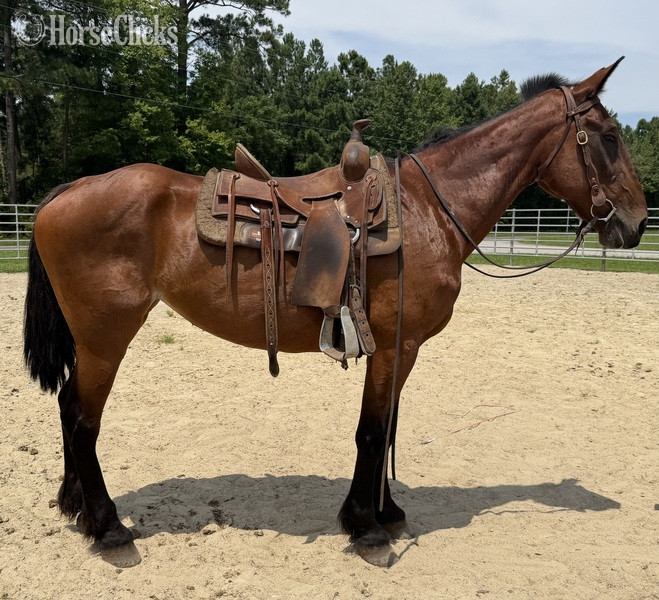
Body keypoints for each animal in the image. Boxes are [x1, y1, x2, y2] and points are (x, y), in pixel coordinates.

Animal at [23, 59, 647, 567]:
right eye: (609, 136)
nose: (637, 222)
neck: (428, 209)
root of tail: (68, 189)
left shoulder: (399, 349)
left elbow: (388, 425)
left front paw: (385, 513)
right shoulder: (395, 344)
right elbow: (372, 431)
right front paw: (366, 529)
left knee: (68, 408)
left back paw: (74, 508)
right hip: (106, 339)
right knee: (82, 420)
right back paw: (108, 530)